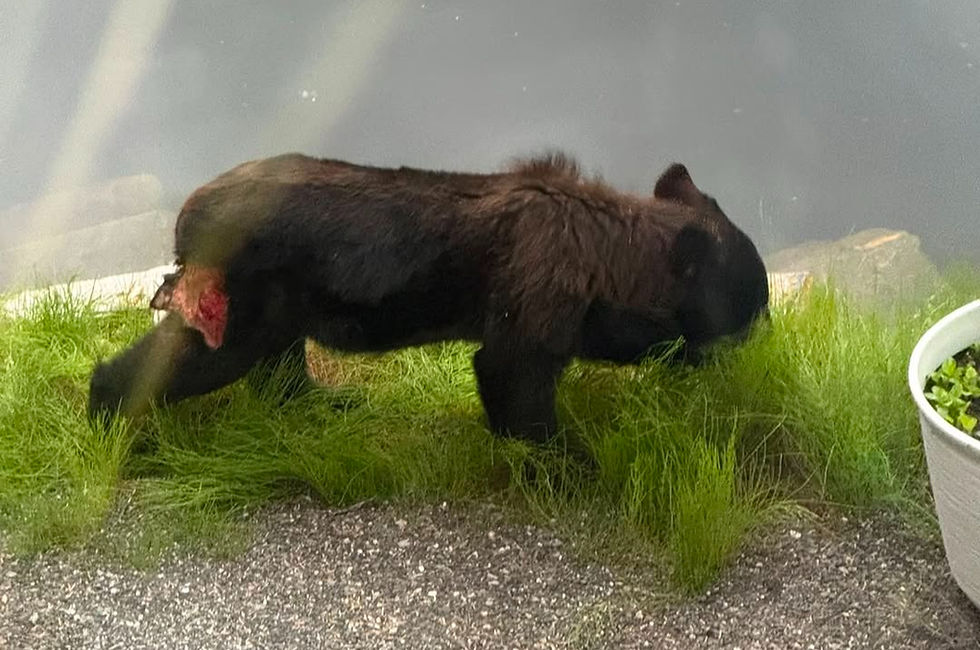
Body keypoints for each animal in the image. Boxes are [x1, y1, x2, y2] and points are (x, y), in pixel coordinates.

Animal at [88, 152, 769, 442]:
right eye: (749, 311)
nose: (762, 337)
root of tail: (187, 218)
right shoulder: (536, 303)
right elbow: (512, 377)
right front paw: (570, 464)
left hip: (273, 303)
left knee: (277, 368)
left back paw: (329, 401)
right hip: (242, 304)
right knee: (190, 361)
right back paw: (110, 422)